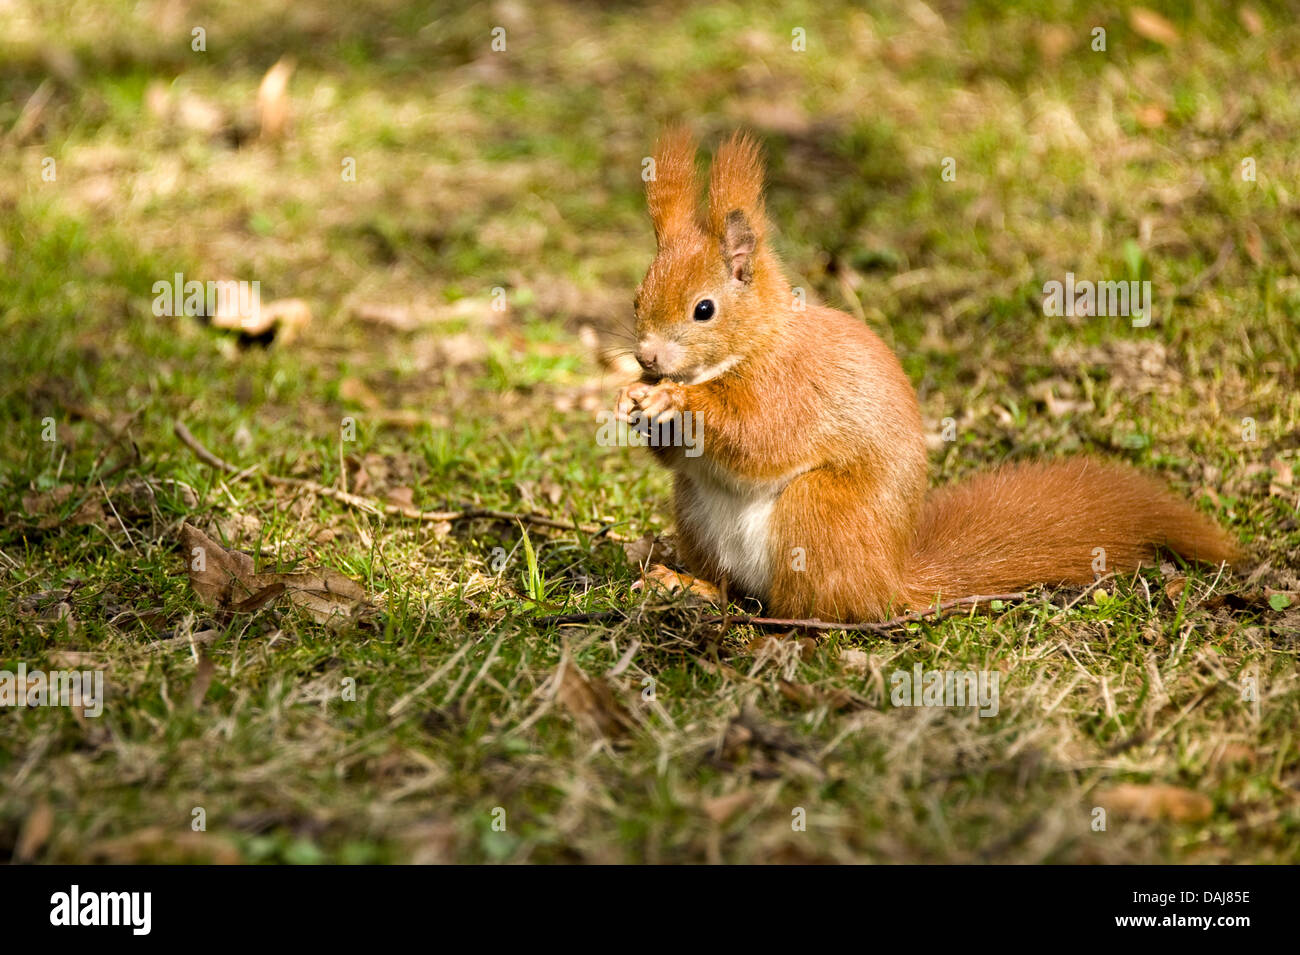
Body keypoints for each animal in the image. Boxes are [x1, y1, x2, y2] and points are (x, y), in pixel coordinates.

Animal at [618, 127, 1237, 623]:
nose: (646, 358)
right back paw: (690, 584)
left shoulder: (792, 386)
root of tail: (891, 579)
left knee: (810, 606)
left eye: (704, 309)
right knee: (731, 583)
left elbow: (759, 435)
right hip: (695, 510)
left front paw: (678, 404)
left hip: (817, 515)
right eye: (636, 299)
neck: (749, 347)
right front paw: (631, 402)